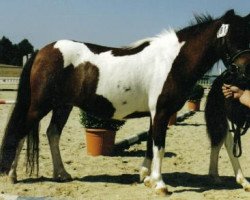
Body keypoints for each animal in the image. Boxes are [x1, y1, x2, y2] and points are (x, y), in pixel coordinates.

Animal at [0, 9, 250, 195]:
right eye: (233, 38)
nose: (245, 72)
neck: (171, 61)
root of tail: (42, 51)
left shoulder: (155, 114)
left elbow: (150, 145)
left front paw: (146, 177)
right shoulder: (160, 112)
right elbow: (159, 146)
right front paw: (160, 185)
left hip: (62, 106)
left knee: (52, 133)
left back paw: (62, 174)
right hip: (39, 106)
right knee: (21, 132)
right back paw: (12, 175)